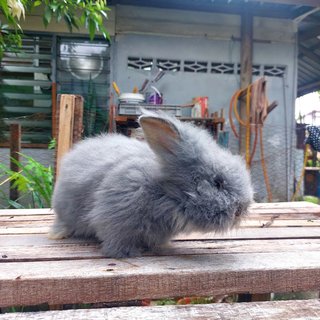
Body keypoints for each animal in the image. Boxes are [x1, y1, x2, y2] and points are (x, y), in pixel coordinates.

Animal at [50, 110, 254, 258]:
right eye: (217, 182)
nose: (242, 209)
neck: (166, 192)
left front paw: (161, 247)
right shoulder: (115, 217)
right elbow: (117, 241)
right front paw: (127, 254)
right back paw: (59, 234)